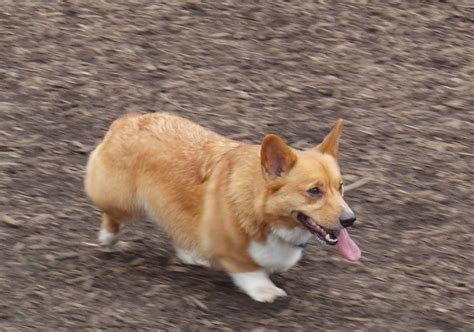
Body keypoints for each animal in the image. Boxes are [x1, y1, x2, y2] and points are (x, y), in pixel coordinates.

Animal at [85, 113, 362, 302]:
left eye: (340, 187)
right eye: (314, 191)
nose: (350, 219)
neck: (264, 213)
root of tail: (129, 120)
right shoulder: (230, 251)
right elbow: (249, 270)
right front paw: (265, 290)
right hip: (122, 203)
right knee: (111, 216)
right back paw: (109, 238)